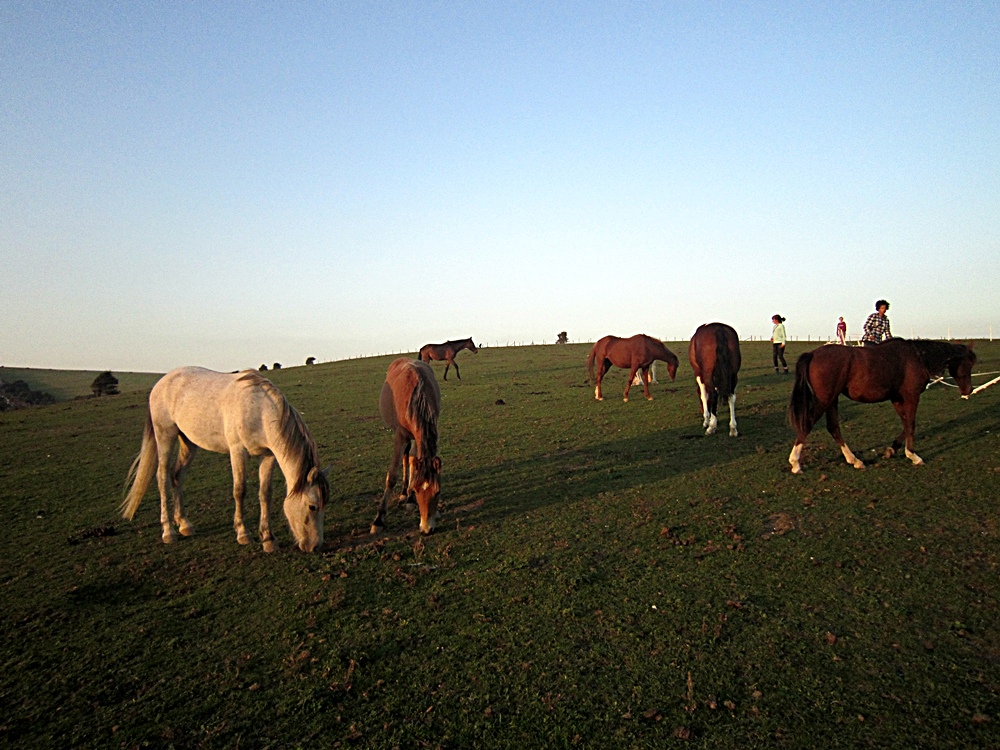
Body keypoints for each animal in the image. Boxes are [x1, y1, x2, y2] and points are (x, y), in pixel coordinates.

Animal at [121, 367, 329, 552]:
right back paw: (168, 531)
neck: (259, 410)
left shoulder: (268, 455)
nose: (315, 546)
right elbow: (239, 491)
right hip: (165, 436)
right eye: (312, 507)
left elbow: (265, 494)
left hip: (188, 442)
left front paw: (268, 539)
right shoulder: (237, 451)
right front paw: (243, 533)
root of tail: (162, 382)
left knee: (177, 476)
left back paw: (184, 524)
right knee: (163, 477)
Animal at [372, 358, 442, 535]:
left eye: (437, 491)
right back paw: (403, 493)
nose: (427, 529)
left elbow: (413, 462)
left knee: (409, 456)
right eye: (417, 491)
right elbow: (392, 477)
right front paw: (378, 520)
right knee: (404, 456)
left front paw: (411, 499)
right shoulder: (399, 436)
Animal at [787, 339, 977, 474]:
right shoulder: (911, 396)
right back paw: (795, 463)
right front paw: (913, 455)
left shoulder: (897, 398)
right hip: (824, 400)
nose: (969, 389)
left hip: (832, 400)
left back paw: (854, 460)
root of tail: (812, 354)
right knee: (808, 424)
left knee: (833, 428)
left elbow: (906, 423)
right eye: (968, 363)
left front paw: (892, 450)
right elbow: (911, 424)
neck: (917, 357)